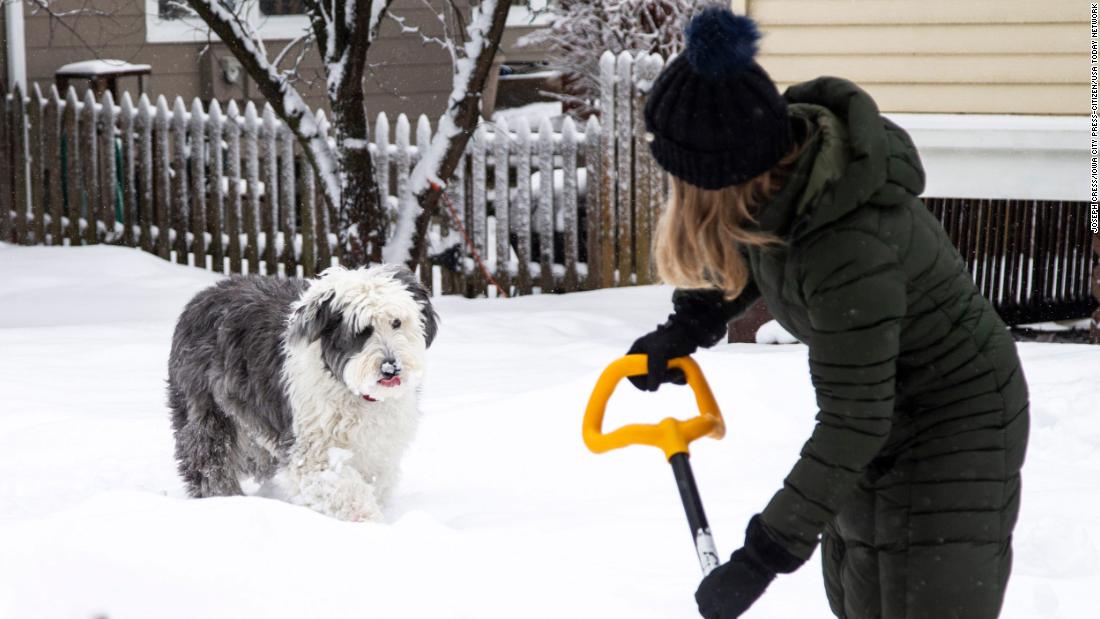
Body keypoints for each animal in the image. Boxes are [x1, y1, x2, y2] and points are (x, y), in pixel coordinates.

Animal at [165, 263, 435, 521]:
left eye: (396, 322)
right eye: (361, 330)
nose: (391, 368)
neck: (351, 388)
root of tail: (204, 295)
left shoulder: (378, 451)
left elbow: (376, 481)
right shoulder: (312, 450)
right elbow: (347, 490)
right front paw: (370, 522)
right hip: (207, 412)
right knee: (209, 463)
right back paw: (224, 499)